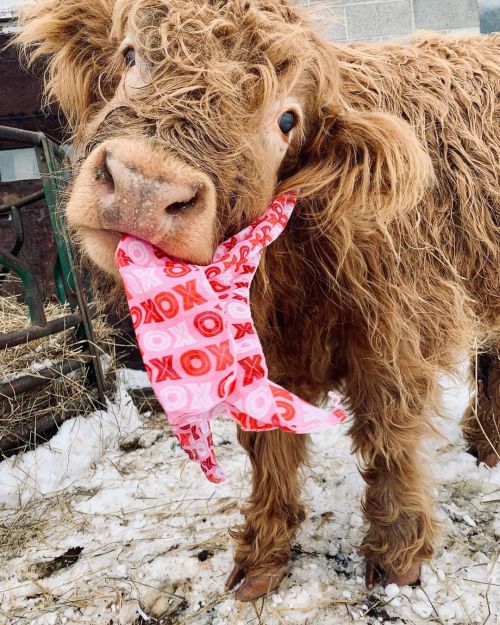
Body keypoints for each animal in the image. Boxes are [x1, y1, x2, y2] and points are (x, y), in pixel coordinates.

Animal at [15, 0, 500, 604]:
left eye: (287, 119)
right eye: (130, 55)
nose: (144, 186)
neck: (286, 276)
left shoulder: (394, 341)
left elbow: (388, 443)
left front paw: (396, 561)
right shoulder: (263, 359)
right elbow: (268, 452)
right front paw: (261, 561)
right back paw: (485, 443)